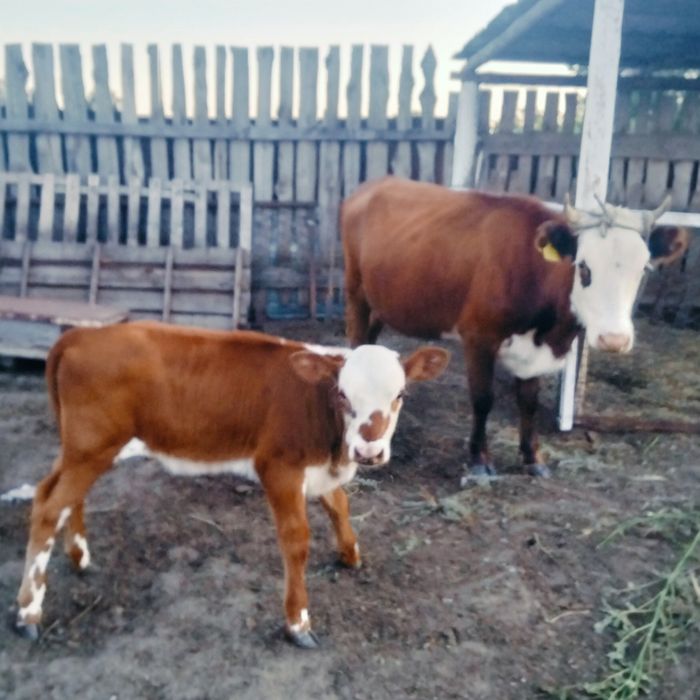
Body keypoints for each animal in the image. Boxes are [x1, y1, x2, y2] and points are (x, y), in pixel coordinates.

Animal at [13, 322, 449, 648]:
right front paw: (298, 622)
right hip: (93, 445)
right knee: (49, 508)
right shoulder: (278, 466)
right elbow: (297, 539)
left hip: (83, 447)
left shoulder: (320, 468)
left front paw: (351, 555)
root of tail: (82, 335)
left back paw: (79, 556)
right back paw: (28, 610)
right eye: (342, 393)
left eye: (401, 393)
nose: (368, 450)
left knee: (54, 493)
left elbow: (339, 505)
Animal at [342, 177, 689, 478]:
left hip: (383, 300)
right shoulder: (479, 336)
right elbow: (483, 398)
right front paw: (480, 460)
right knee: (357, 340)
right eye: (583, 267)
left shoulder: (534, 351)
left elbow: (529, 401)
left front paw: (532, 457)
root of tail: (376, 183)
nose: (613, 339)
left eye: (643, 269)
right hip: (356, 290)